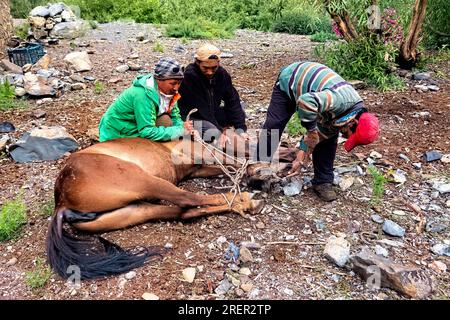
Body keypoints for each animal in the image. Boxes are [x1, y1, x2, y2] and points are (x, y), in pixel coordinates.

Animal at [45, 136, 268, 278]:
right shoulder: (200, 154)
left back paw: (243, 203)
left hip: (134, 211)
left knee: (183, 211)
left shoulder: (198, 169)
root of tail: (61, 203)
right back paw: (243, 200)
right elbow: (232, 162)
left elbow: (229, 166)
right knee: (188, 200)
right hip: (143, 180)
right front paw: (257, 170)